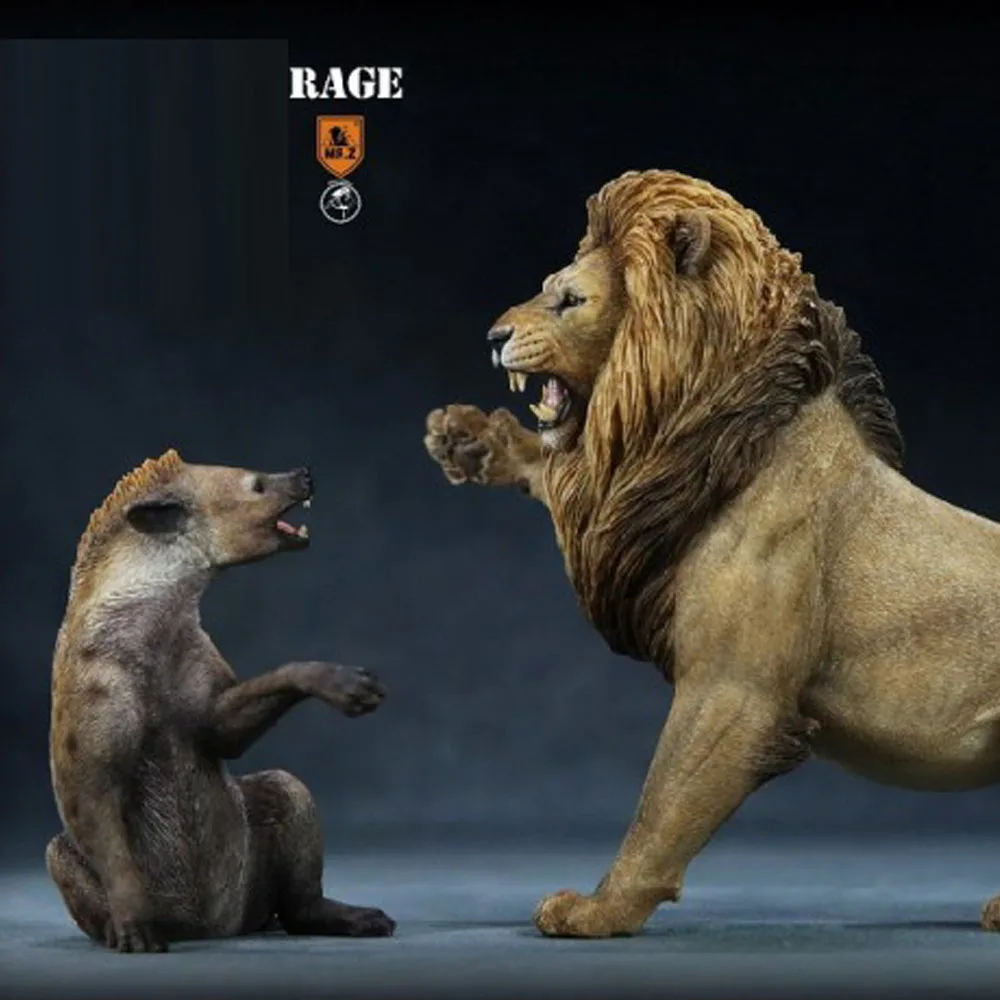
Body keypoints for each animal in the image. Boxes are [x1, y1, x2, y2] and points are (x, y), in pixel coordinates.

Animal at [424, 168, 1000, 939]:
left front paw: (599, 909)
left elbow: (663, 803)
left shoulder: (734, 691)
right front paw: (468, 439)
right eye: (547, 286)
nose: (494, 336)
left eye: (570, 298)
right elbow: (551, 464)